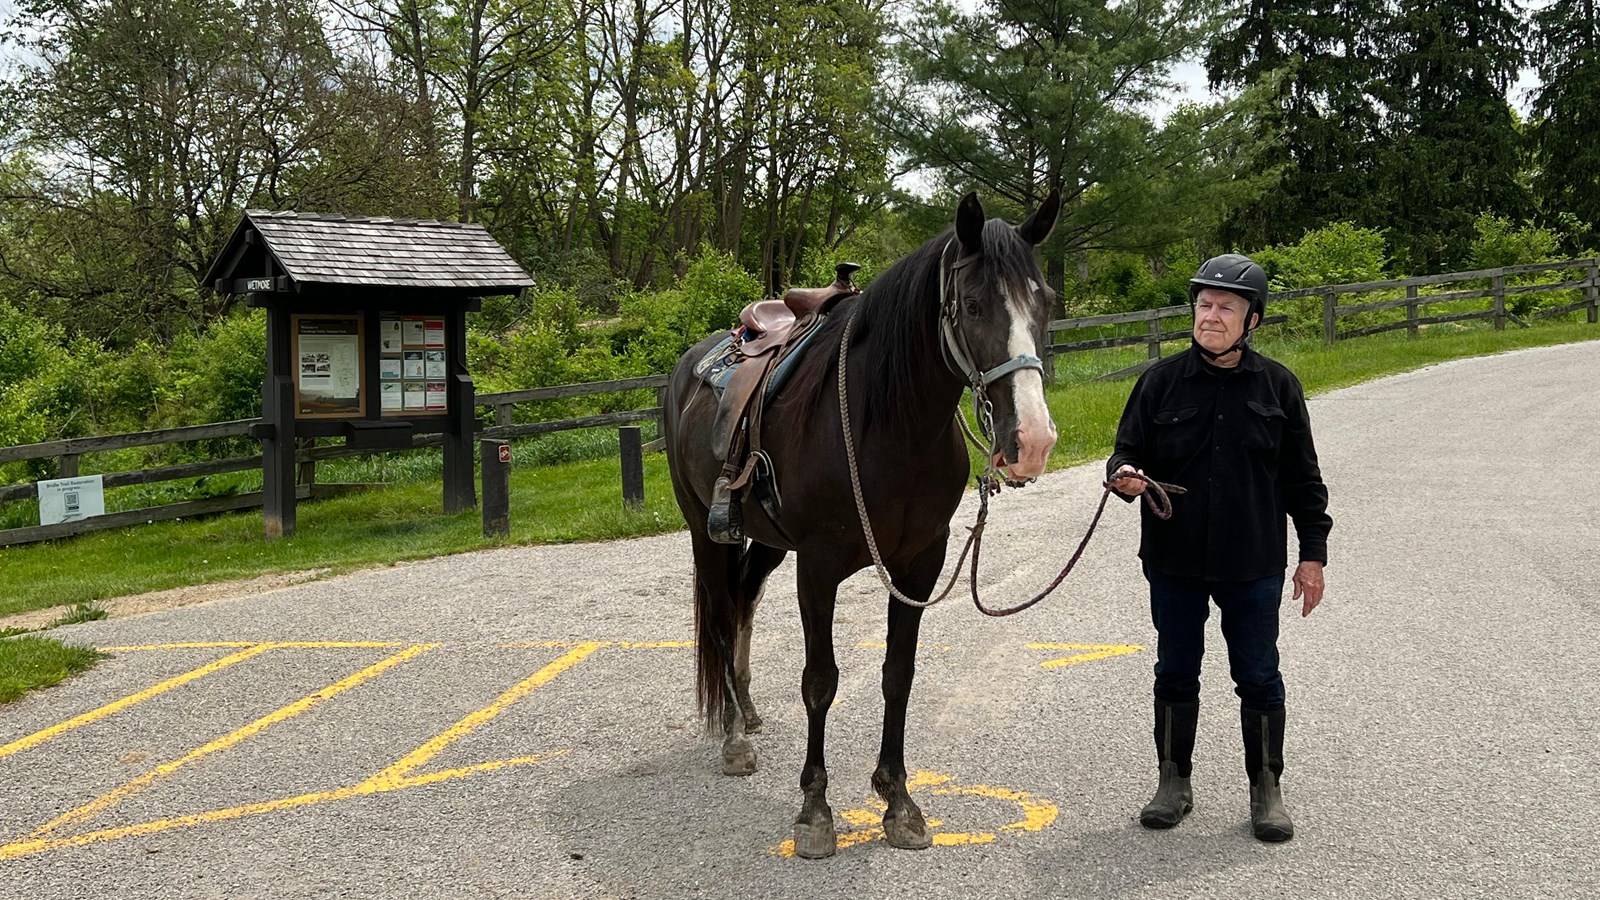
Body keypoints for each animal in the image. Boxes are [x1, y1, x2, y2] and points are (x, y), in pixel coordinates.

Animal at [662, 190, 1062, 851]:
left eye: (1047, 302)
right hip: (705, 534)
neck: (892, 425)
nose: (1031, 441)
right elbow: (820, 680)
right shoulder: (818, 566)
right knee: (720, 617)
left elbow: (898, 673)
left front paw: (898, 800)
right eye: (973, 304)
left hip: (768, 543)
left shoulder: (920, 561)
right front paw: (815, 811)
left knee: (743, 602)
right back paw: (734, 738)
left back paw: (747, 709)